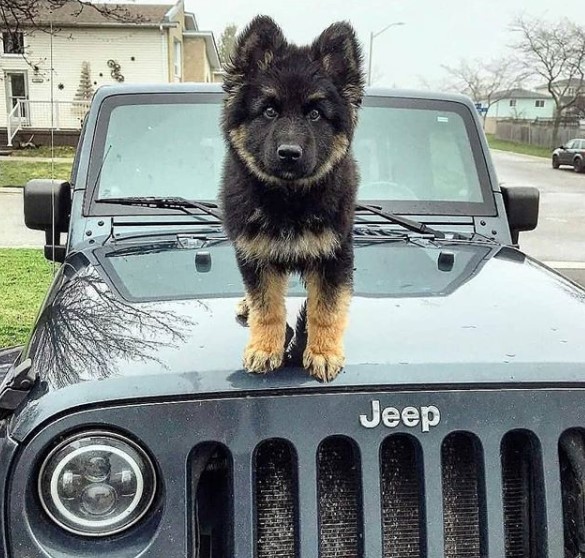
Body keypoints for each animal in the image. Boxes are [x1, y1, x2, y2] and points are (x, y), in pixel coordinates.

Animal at [220, 15, 362, 382]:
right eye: (270, 111)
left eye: (315, 114)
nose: (289, 153)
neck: (289, 200)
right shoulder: (255, 255)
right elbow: (267, 307)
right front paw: (265, 348)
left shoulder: (334, 254)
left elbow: (326, 308)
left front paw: (323, 352)